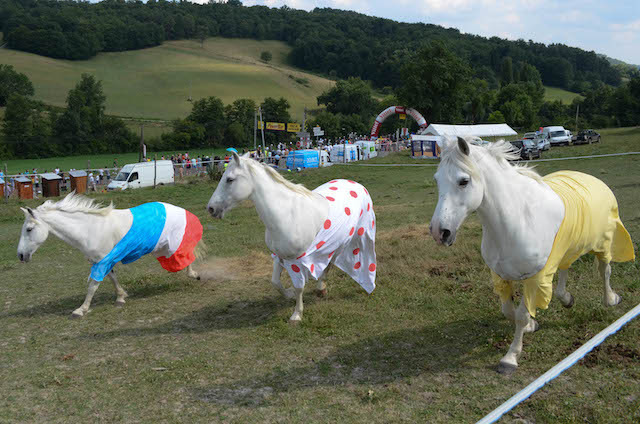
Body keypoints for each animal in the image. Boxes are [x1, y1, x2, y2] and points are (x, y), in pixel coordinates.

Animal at [16, 194, 202, 316]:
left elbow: (93, 285)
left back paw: (194, 274)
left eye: (29, 229)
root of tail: (177, 209)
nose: (21, 256)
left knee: (185, 255)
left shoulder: (102, 261)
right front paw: (121, 297)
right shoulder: (102, 260)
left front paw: (81, 310)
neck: (89, 229)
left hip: (171, 243)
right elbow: (112, 278)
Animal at [206, 154, 376, 322]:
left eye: (229, 179)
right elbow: (275, 282)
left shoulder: (297, 262)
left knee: (332, 262)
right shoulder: (279, 256)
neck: (287, 215)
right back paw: (321, 289)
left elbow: (299, 287)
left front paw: (297, 314)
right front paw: (289, 294)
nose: (211, 208)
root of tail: (356, 184)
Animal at [430, 137, 636, 374]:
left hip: (603, 243)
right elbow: (508, 310)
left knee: (605, 270)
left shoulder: (535, 278)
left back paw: (611, 299)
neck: (517, 221)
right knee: (565, 270)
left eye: (463, 181)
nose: (439, 232)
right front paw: (532, 325)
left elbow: (521, 314)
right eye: (437, 180)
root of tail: (594, 179)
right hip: (567, 247)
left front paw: (510, 358)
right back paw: (567, 299)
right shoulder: (500, 275)